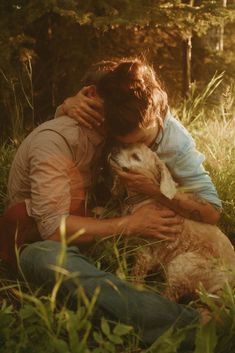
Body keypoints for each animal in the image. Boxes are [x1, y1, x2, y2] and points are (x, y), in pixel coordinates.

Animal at [108, 142, 235, 300]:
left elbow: (137, 276)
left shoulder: (145, 253)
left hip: (182, 265)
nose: (113, 149)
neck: (144, 199)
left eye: (136, 156)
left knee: (170, 296)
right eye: (126, 146)